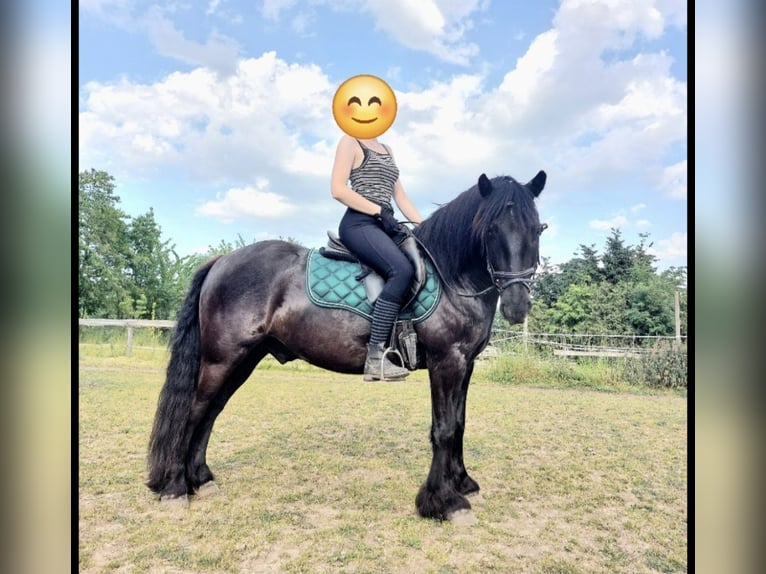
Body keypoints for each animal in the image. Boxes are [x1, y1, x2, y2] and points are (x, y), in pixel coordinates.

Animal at [147, 171, 547, 521]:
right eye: (491, 229)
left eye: (536, 229)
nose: (517, 306)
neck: (450, 277)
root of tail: (222, 261)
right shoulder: (446, 362)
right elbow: (444, 429)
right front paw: (444, 502)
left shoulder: (466, 364)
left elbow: (460, 424)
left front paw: (463, 483)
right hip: (222, 358)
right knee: (195, 412)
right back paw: (176, 489)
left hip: (243, 359)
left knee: (211, 411)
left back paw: (201, 479)